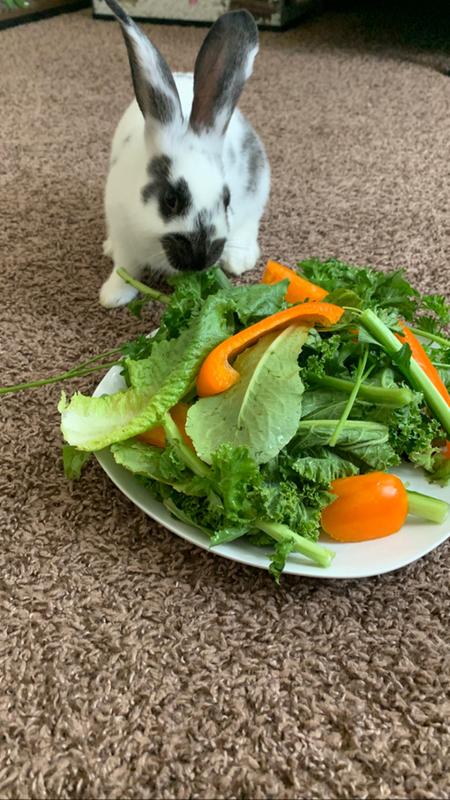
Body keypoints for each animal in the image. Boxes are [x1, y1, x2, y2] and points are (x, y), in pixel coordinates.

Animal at [99, 0, 271, 308]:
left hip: (259, 187)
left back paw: (239, 258)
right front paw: (113, 297)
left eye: (226, 200)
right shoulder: (124, 234)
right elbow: (125, 268)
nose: (200, 258)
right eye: (171, 200)